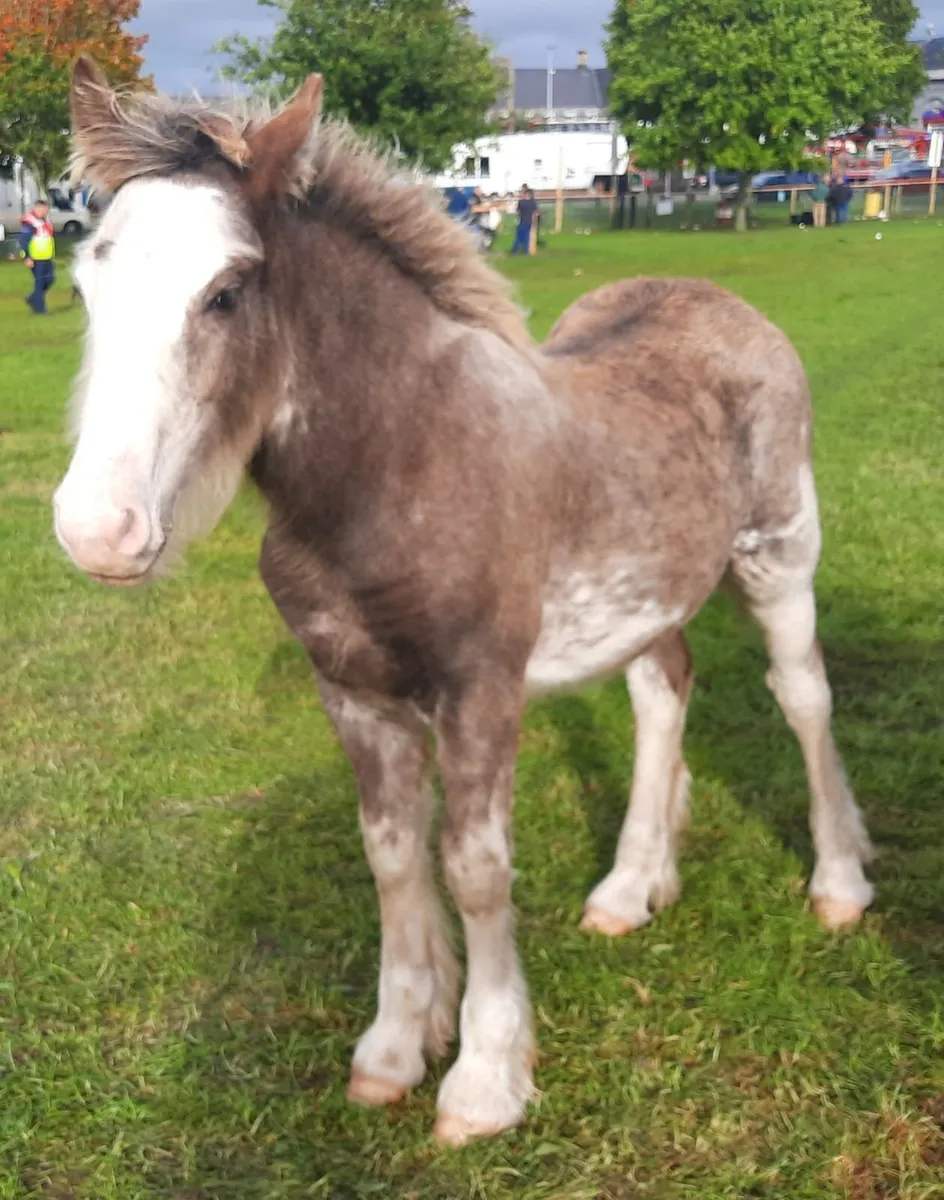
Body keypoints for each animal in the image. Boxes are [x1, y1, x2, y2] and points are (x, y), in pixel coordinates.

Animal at [54, 58, 874, 1146]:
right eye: (85, 283)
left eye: (225, 292)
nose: (95, 529)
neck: (397, 465)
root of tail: (719, 300)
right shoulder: (352, 696)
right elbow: (394, 858)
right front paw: (396, 1047)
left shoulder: (480, 690)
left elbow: (476, 869)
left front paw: (486, 1077)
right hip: (644, 596)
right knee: (665, 691)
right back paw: (629, 888)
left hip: (780, 557)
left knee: (803, 697)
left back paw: (839, 883)